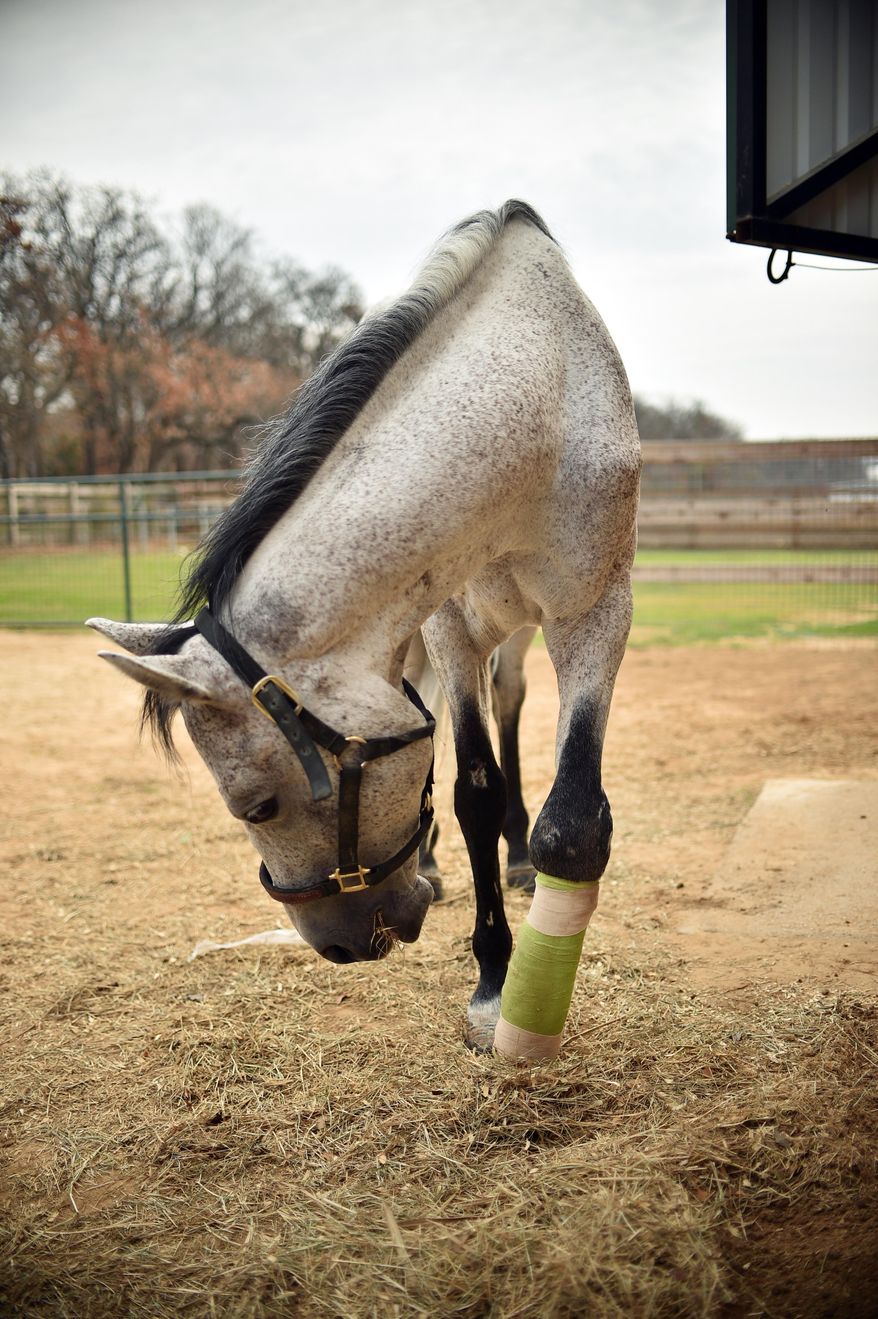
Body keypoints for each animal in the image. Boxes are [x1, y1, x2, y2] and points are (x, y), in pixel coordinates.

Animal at [89, 200, 640, 1052]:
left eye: (256, 807)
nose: (338, 946)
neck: (533, 407)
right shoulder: (444, 622)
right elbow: (472, 788)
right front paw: (491, 980)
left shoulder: (597, 609)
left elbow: (571, 819)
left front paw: (519, 1011)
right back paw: (441, 863)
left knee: (512, 701)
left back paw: (513, 856)